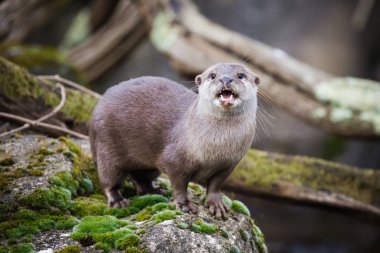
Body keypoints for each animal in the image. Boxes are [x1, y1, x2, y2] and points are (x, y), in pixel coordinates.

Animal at [90, 62, 260, 218]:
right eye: (213, 75)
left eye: (240, 75)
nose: (225, 79)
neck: (216, 147)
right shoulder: (174, 160)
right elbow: (179, 185)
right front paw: (183, 204)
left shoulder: (229, 164)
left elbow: (215, 185)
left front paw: (216, 204)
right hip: (107, 147)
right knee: (109, 179)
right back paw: (118, 201)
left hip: (147, 165)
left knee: (141, 177)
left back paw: (155, 190)